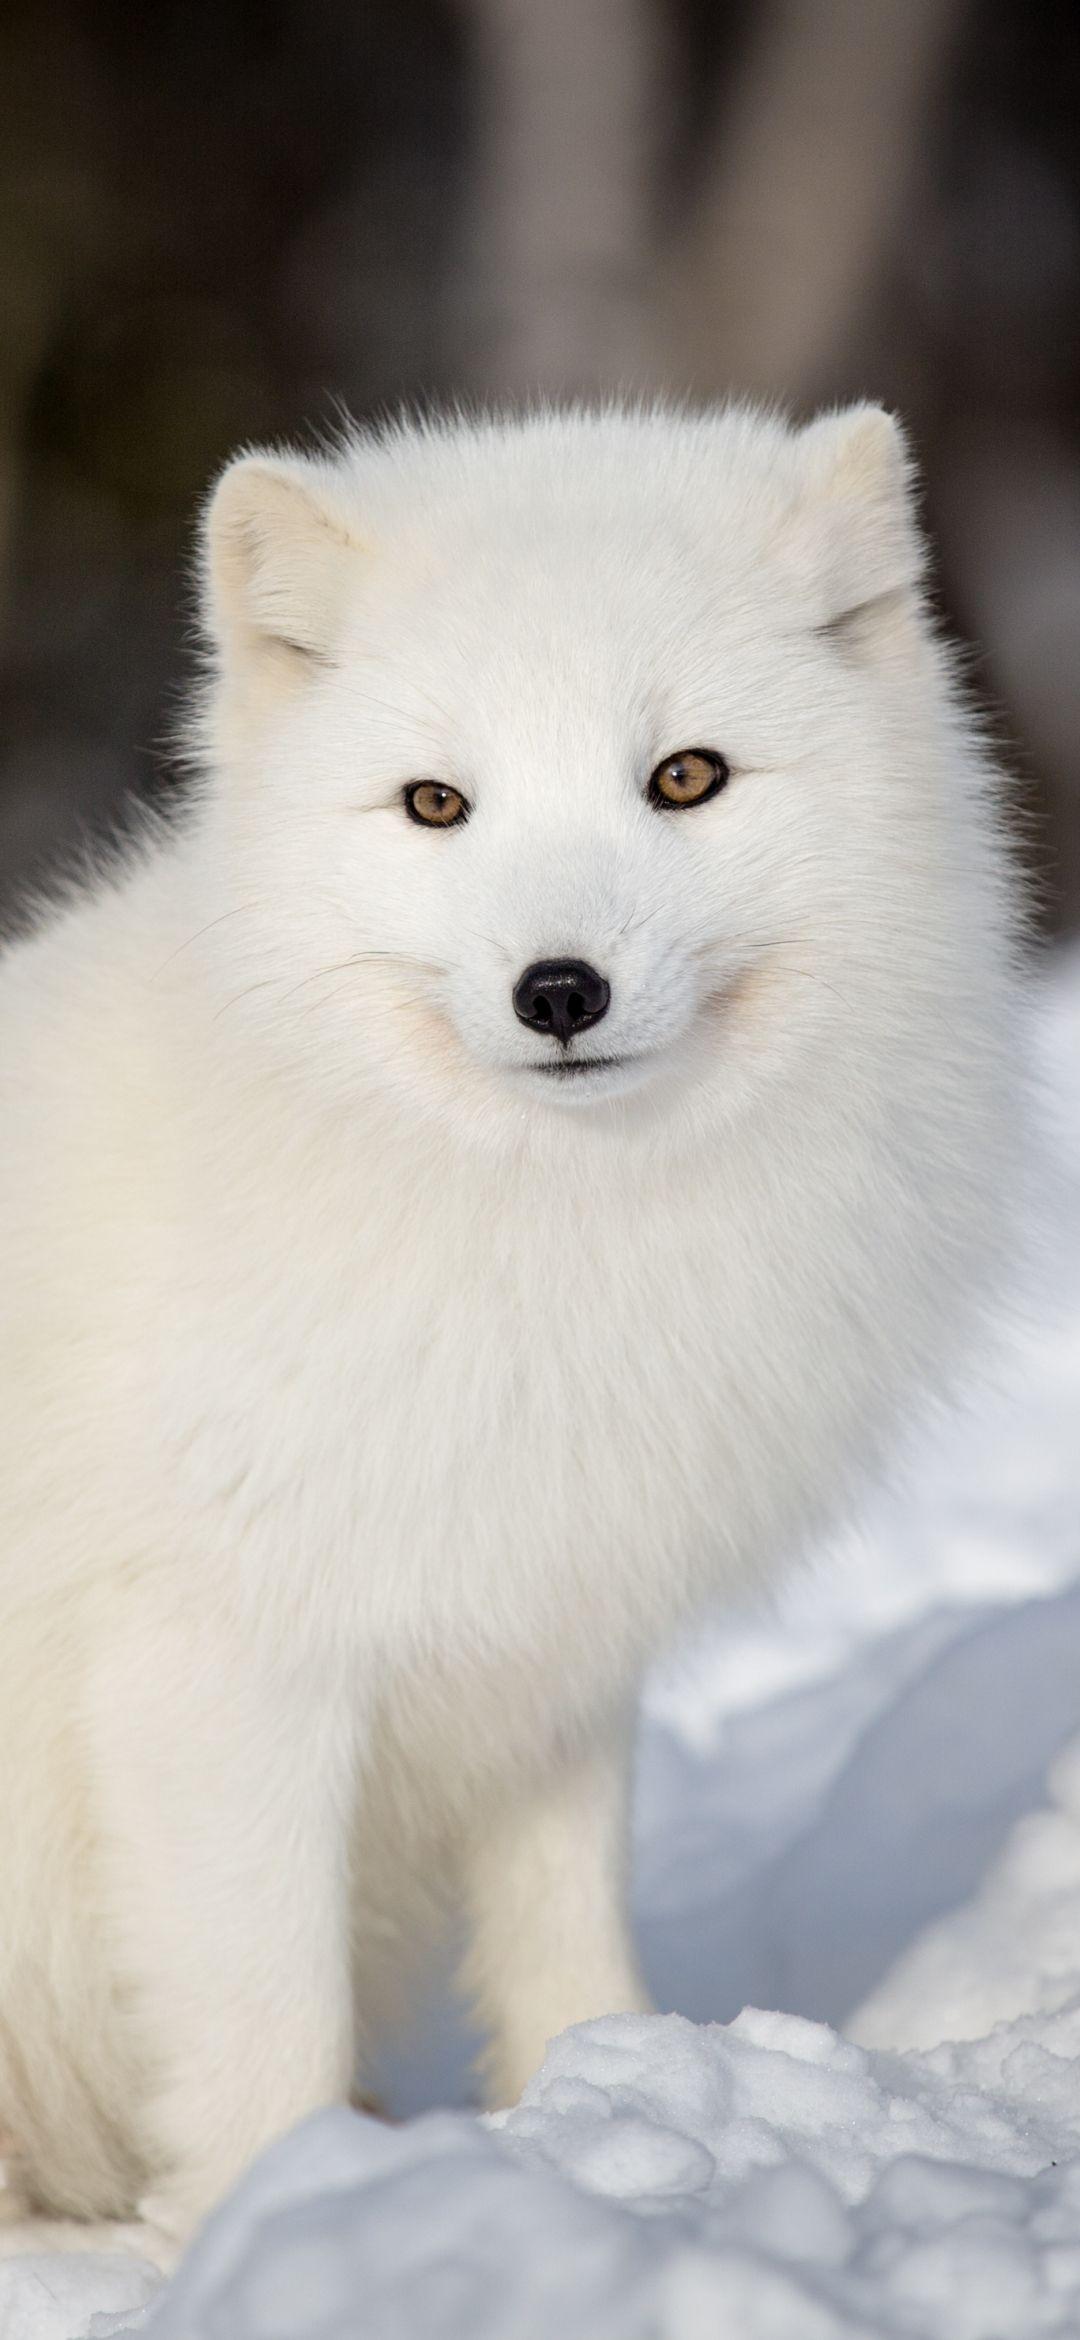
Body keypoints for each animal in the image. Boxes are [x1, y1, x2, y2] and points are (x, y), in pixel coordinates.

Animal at [0, 402, 1021, 2264]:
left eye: (684, 777)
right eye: (436, 804)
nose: (560, 992)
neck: (543, 1244)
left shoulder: (551, 1648)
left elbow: (567, 1942)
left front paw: (611, 2121)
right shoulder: (218, 1671)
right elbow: (261, 2020)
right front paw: (276, 2218)